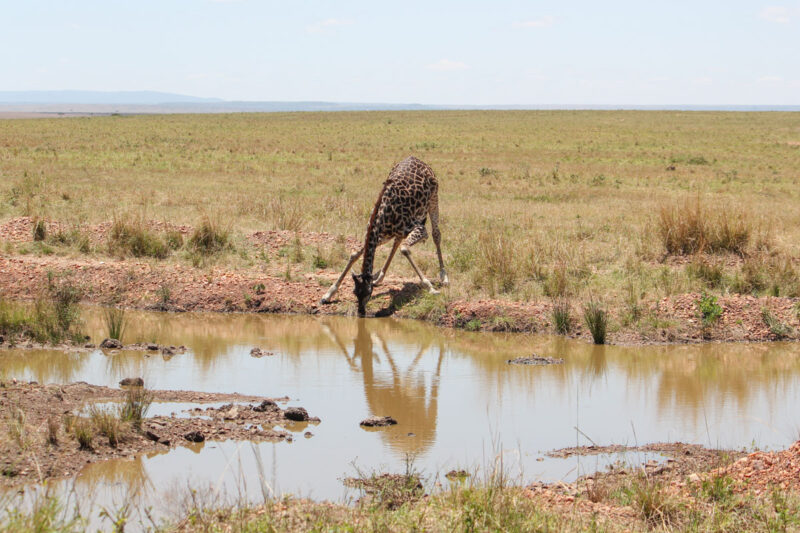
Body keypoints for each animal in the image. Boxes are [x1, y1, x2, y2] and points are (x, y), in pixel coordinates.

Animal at [320, 155, 450, 316]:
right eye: (355, 292)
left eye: (368, 292)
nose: (361, 312)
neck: (383, 215)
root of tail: (416, 159)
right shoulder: (380, 236)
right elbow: (354, 254)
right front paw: (328, 294)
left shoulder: (420, 228)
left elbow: (405, 249)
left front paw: (431, 288)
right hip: (392, 233)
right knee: (397, 241)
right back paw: (380, 277)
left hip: (434, 197)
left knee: (436, 234)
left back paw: (444, 276)